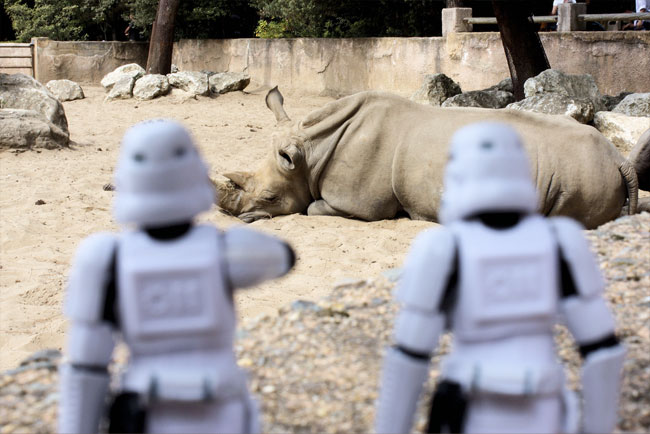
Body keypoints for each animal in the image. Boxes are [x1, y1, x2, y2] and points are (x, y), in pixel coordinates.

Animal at [214, 88, 644, 229]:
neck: (310, 152)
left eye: (271, 198)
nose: (234, 217)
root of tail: (618, 159)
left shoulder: (357, 205)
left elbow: (311, 208)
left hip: (579, 173)